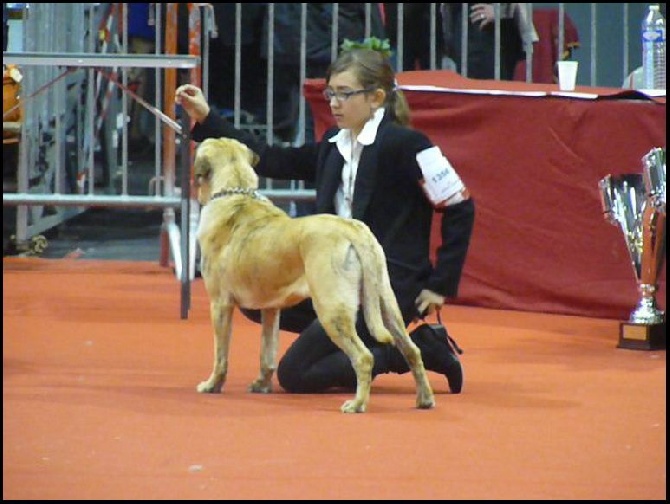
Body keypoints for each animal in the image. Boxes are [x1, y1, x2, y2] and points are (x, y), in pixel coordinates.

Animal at [194, 138, 436, 414]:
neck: (235, 191)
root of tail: (353, 229)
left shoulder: (220, 304)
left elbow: (220, 355)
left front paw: (212, 385)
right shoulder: (270, 309)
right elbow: (267, 352)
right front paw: (261, 385)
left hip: (332, 310)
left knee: (364, 357)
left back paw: (356, 404)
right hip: (387, 304)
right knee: (412, 350)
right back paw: (424, 399)